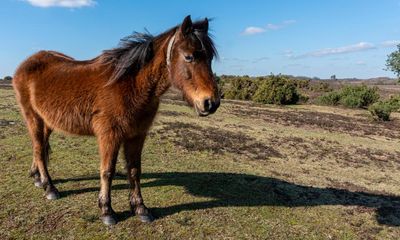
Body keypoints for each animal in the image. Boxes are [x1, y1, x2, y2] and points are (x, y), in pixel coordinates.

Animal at [13, 15, 219, 226]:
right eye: (189, 56)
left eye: (210, 58)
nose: (210, 103)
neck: (131, 85)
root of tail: (26, 63)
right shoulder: (109, 135)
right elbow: (107, 171)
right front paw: (107, 210)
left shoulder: (137, 135)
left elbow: (134, 170)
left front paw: (140, 208)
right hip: (32, 117)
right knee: (39, 149)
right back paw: (49, 187)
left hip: (46, 121)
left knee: (40, 147)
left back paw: (37, 178)